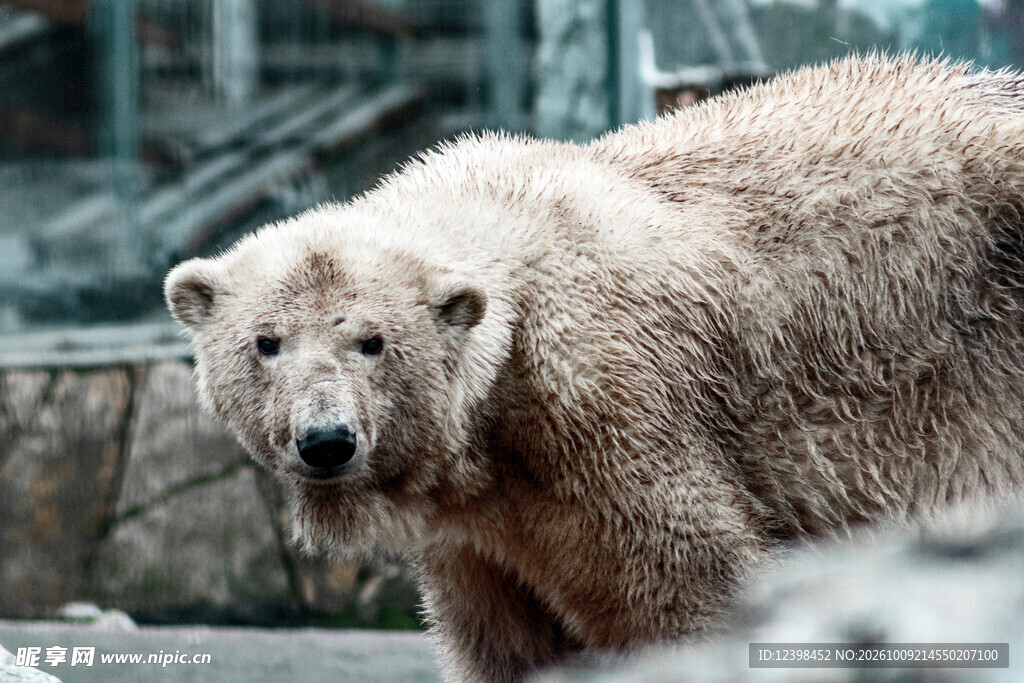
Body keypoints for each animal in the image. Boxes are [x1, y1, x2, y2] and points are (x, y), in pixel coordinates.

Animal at [165, 55, 1024, 682]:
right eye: (267, 342)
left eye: (372, 341)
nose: (326, 441)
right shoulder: (476, 537)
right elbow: (506, 644)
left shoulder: (606, 418)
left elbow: (698, 589)